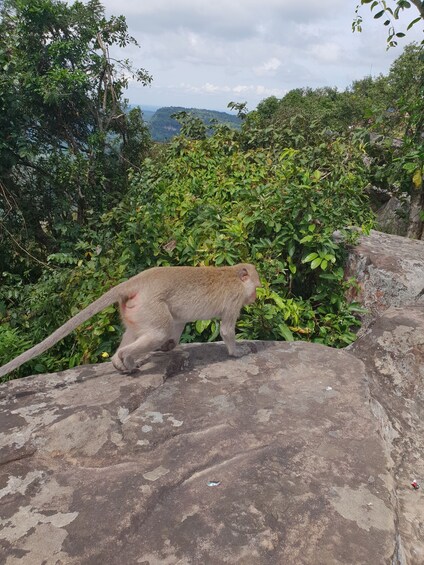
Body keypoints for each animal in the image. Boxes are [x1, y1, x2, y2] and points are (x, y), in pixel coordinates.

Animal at [0, 264, 262, 378]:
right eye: (257, 286)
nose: (256, 296)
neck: (234, 275)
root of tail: (135, 281)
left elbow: (178, 321)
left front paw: (169, 346)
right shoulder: (234, 299)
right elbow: (226, 329)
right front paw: (237, 351)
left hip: (135, 310)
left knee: (139, 331)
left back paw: (119, 361)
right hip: (149, 306)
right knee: (157, 331)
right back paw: (126, 357)